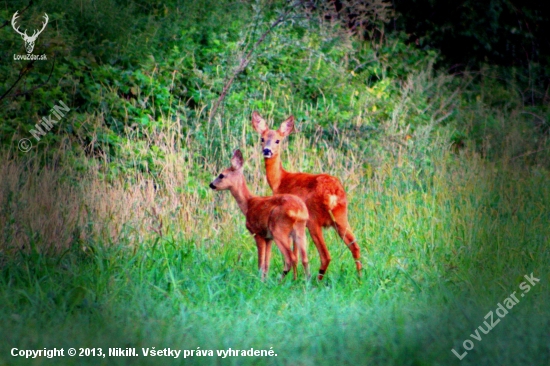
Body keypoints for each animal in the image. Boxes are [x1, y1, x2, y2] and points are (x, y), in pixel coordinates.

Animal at [209, 149, 310, 280]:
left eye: (221, 175)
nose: (211, 184)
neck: (248, 204)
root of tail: (299, 211)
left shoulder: (257, 232)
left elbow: (261, 263)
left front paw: (259, 280)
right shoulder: (268, 237)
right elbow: (267, 263)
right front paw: (264, 279)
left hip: (279, 229)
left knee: (290, 258)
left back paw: (281, 281)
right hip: (300, 229)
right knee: (305, 258)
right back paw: (306, 280)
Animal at [253, 111, 364, 280]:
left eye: (278, 140)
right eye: (262, 138)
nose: (267, 151)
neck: (280, 180)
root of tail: (332, 193)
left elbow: (293, 254)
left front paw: (293, 278)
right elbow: (297, 253)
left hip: (313, 219)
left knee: (326, 256)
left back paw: (316, 280)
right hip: (341, 216)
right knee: (355, 247)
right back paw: (359, 278)